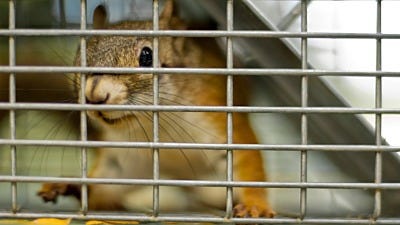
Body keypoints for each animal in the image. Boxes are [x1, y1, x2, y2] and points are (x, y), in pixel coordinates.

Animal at [37, 0, 276, 218]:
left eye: (146, 56)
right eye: (82, 53)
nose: (94, 95)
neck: (158, 125)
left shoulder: (221, 121)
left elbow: (247, 164)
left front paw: (255, 206)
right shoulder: (125, 160)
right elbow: (104, 189)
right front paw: (72, 184)